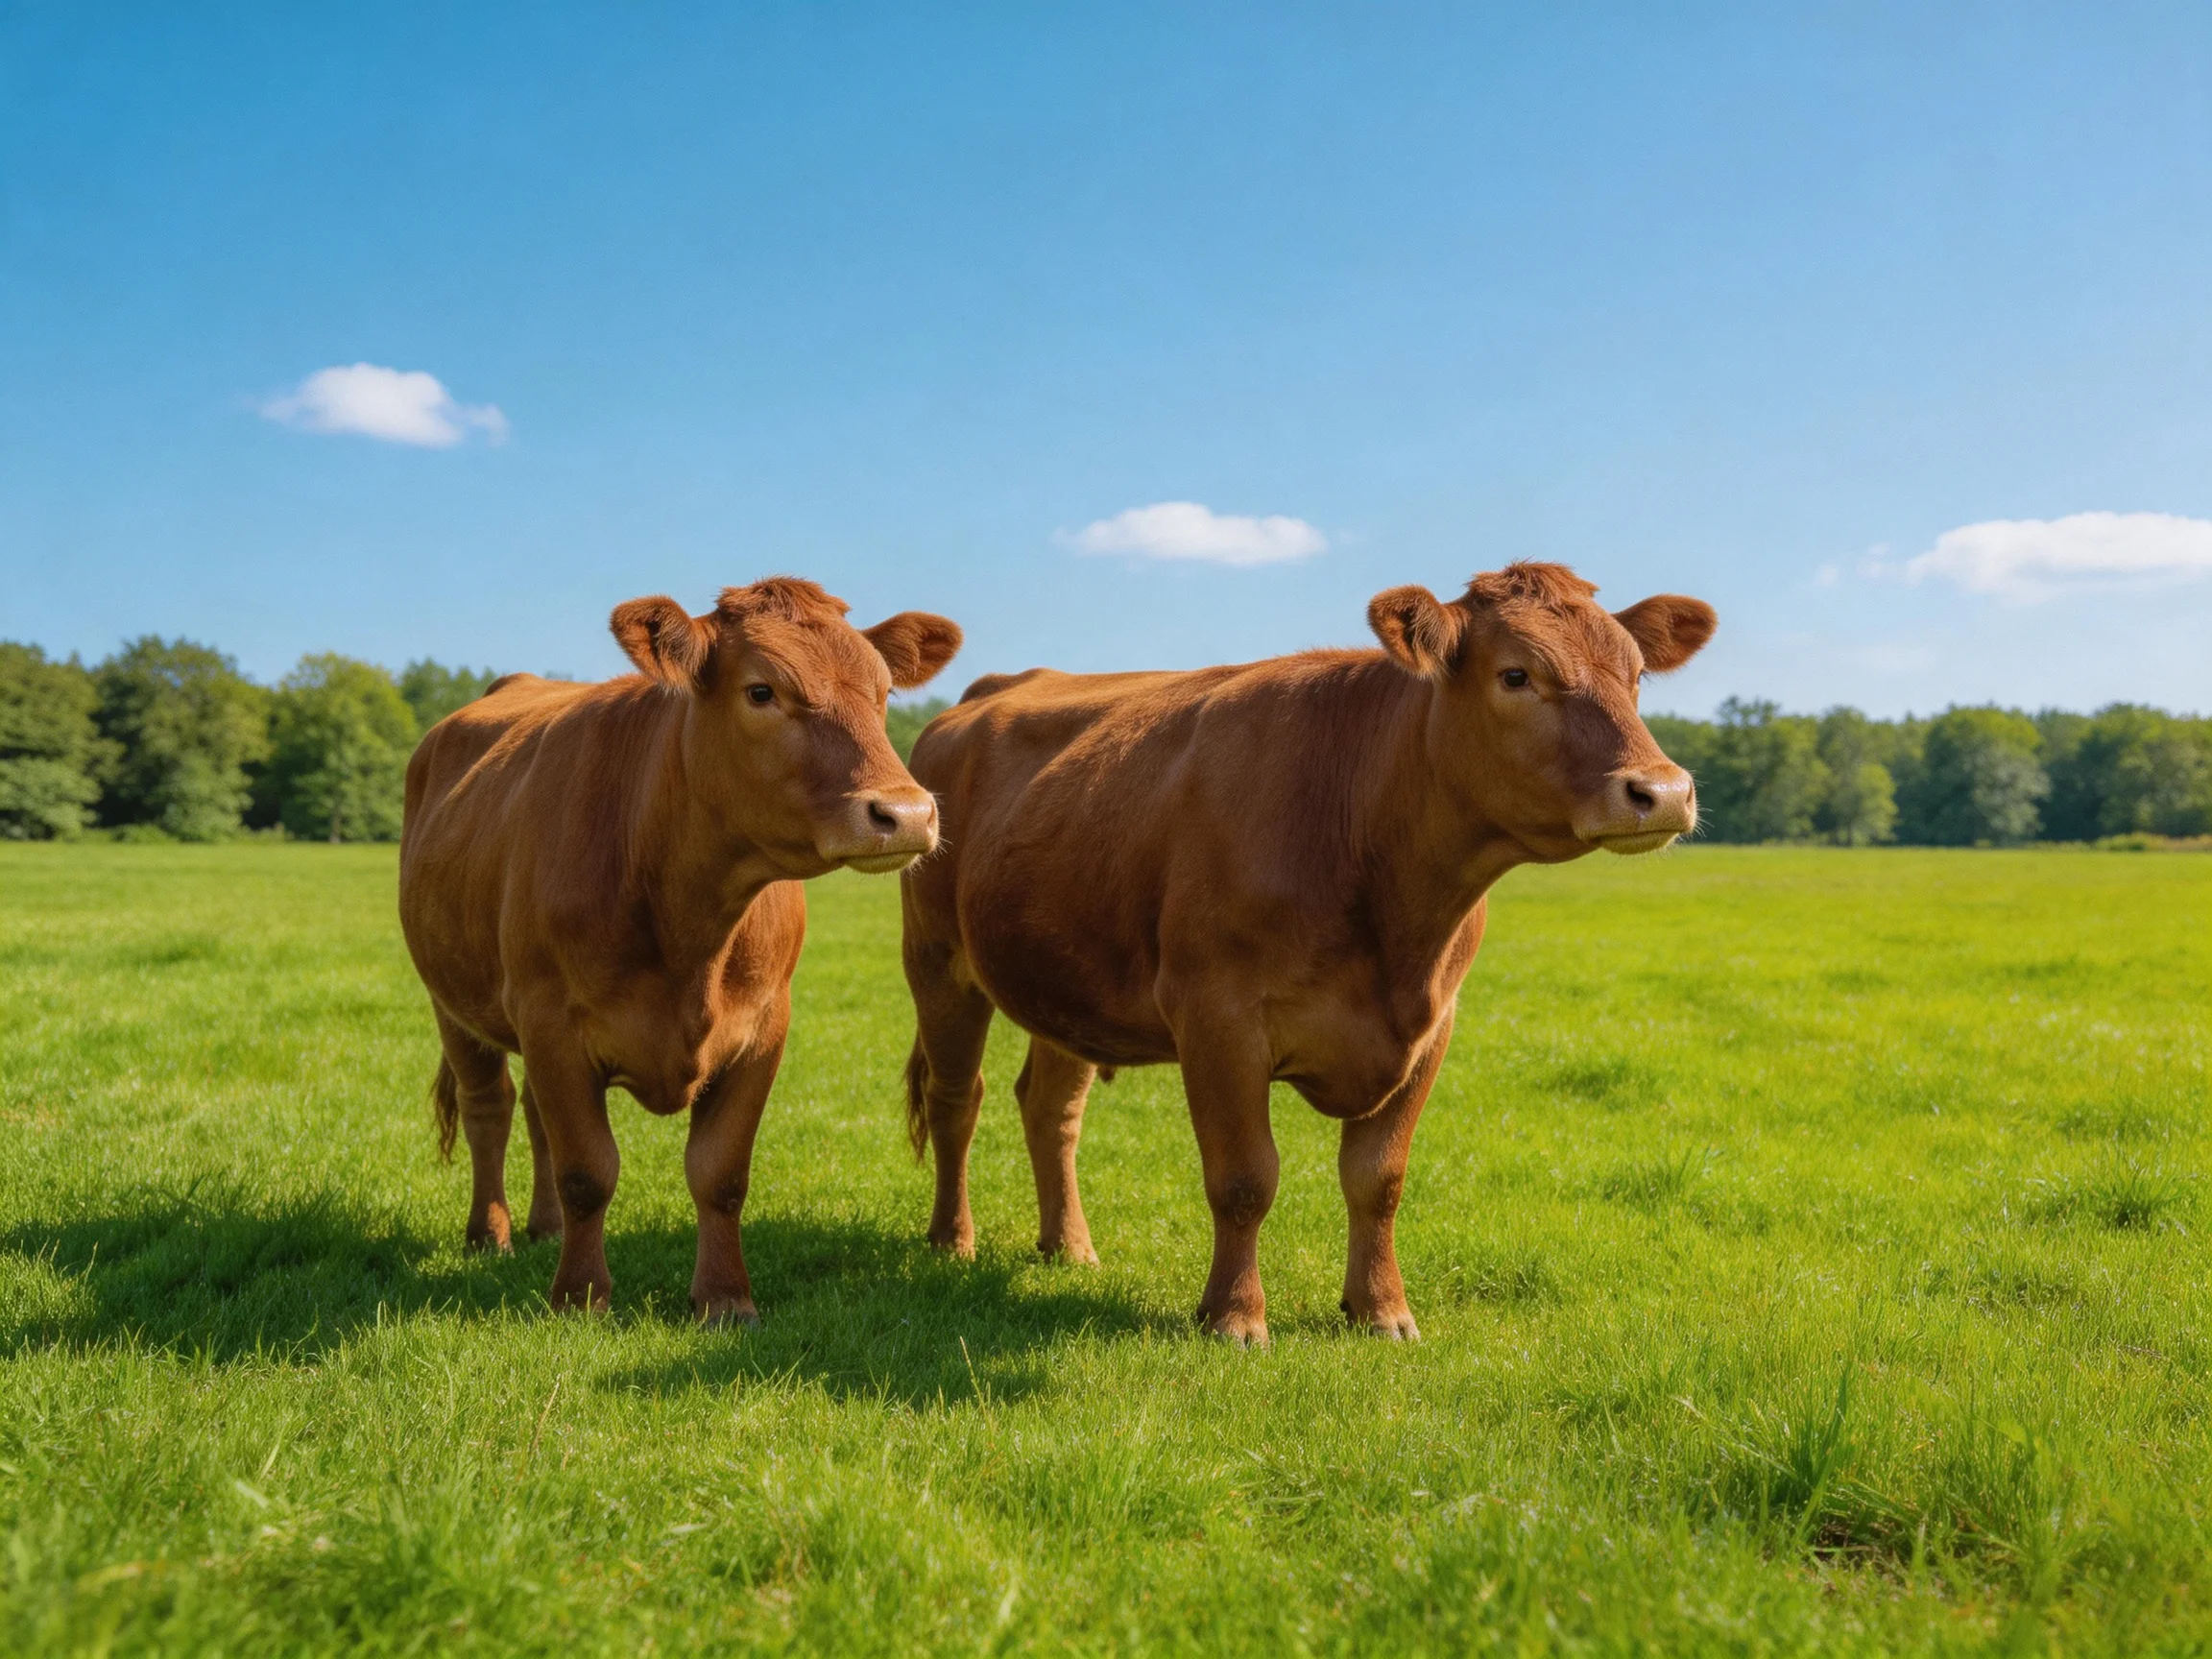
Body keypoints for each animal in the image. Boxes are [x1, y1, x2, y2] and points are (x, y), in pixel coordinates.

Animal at [399, 577, 961, 1320]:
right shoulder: (552, 1022)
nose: (906, 813)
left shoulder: (763, 1027)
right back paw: (490, 1235)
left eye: (884, 691)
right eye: (761, 691)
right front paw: (580, 1297)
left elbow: (720, 1173)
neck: (689, 927)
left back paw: (545, 1228)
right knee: (488, 1107)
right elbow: (588, 1171)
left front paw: (724, 1299)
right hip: (452, 1002)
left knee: (533, 1116)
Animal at [898, 561, 1712, 1345]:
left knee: (1050, 1108)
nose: (1663, 790)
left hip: (1063, 981)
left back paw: (1069, 1247)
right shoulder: (1217, 1018)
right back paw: (951, 1239)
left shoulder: (1433, 1027)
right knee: (956, 1098)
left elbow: (1379, 1179)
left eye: (1637, 675)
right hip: (936, 960)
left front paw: (1381, 1310)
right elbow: (1244, 1178)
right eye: (1516, 675)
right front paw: (1234, 1316)